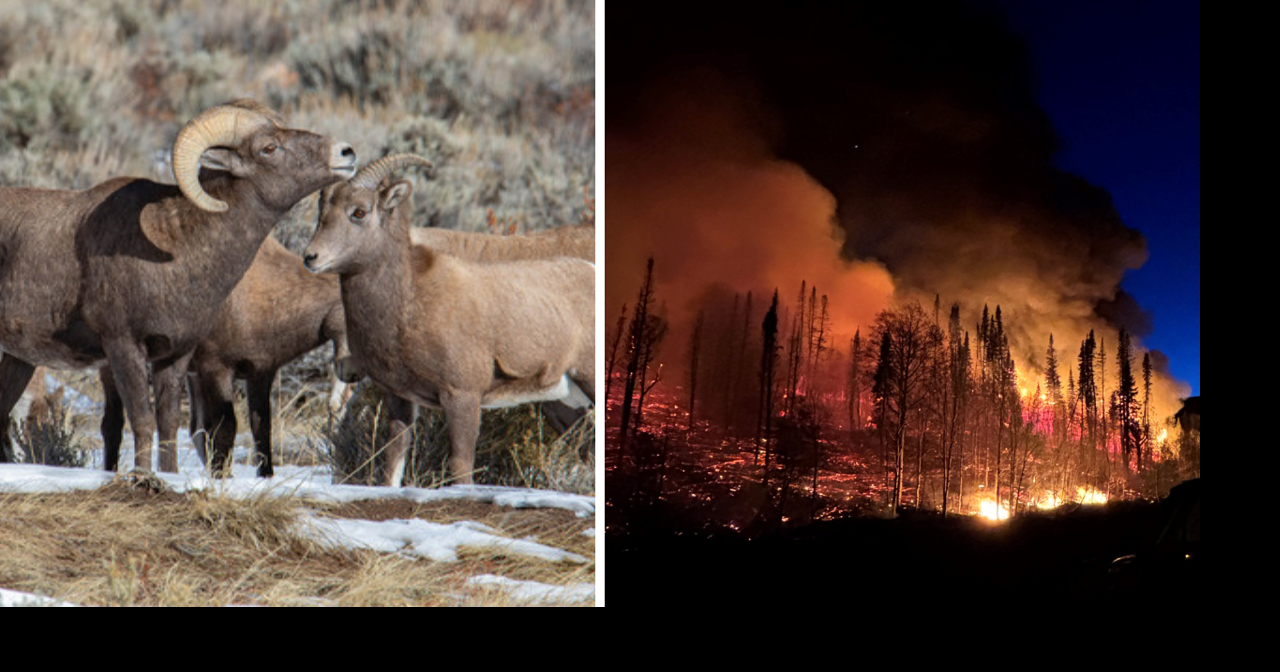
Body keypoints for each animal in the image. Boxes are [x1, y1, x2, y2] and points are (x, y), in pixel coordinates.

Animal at [98, 235, 348, 477]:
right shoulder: (215, 368)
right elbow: (225, 427)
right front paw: (222, 476)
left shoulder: (260, 372)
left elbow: (260, 426)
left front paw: (263, 475)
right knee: (113, 421)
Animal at [304, 154, 594, 486]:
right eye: (322, 210)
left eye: (359, 212)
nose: (311, 257)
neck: (409, 302)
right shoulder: (400, 400)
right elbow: (394, 461)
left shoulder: (462, 398)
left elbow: (461, 466)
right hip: (567, 404)